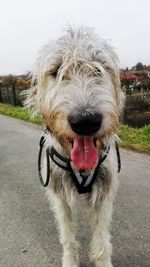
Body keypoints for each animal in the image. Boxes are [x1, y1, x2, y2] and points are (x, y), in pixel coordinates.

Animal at [25, 25, 123, 267]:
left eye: (100, 67)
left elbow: (101, 240)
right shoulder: (59, 194)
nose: (86, 121)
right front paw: (70, 260)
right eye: (56, 70)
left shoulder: (104, 193)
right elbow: (67, 236)